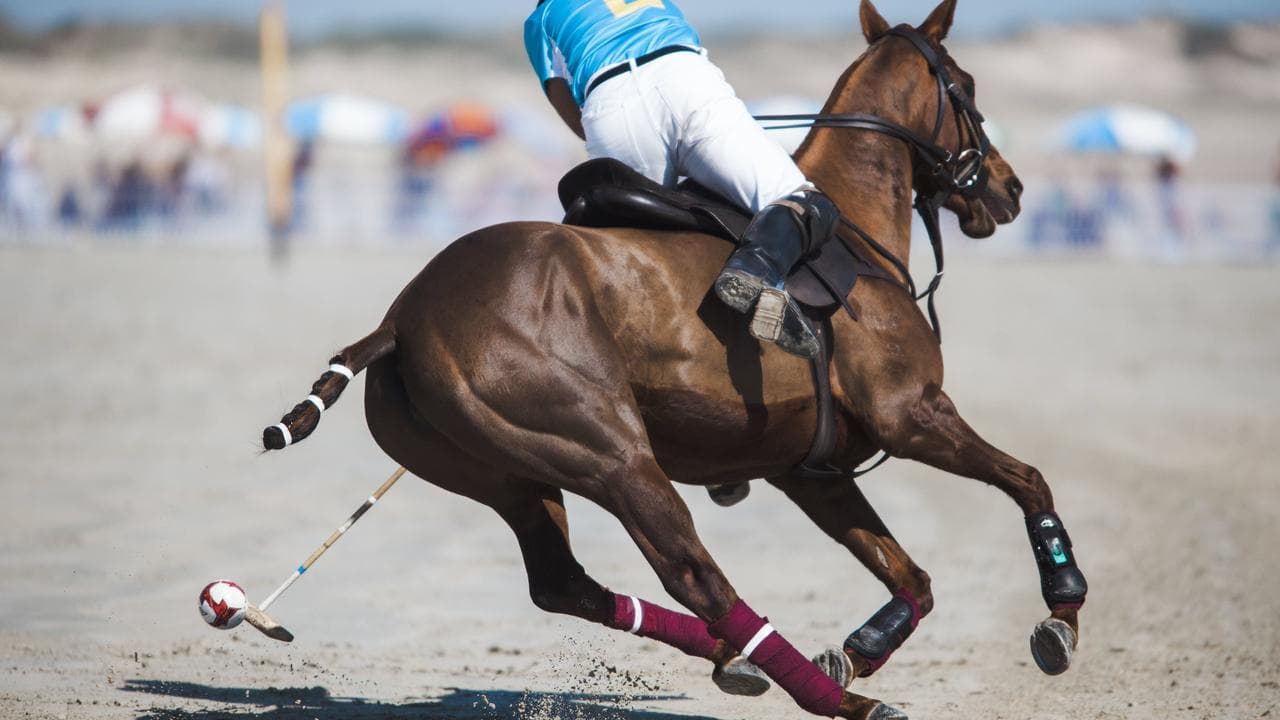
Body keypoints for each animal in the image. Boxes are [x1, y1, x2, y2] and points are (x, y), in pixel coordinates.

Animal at [260, 2, 1087, 717]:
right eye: (967, 88)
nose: (1010, 190)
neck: (856, 229)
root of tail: (400, 319)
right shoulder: (910, 414)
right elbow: (1029, 480)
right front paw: (1062, 613)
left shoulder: (809, 470)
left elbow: (911, 574)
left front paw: (859, 648)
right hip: (612, 456)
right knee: (697, 576)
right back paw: (834, 698)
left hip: (506, 476)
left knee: (564, 583)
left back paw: (742, 659)